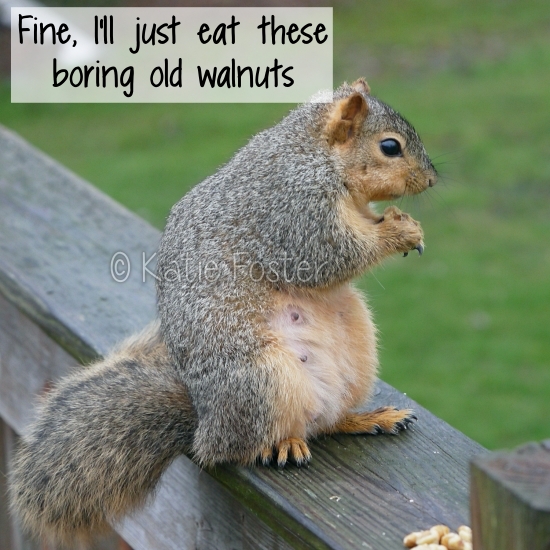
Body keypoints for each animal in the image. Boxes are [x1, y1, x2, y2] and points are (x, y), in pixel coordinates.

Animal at [9, 78, 437, 546]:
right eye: (390, 146)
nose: (432, 179)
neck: (314, 153)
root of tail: (205, 424)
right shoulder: (292, 208)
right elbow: (327, 255)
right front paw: (401, 230)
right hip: (261, 376)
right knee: (242, 446)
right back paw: (279, 444)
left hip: (354, 349)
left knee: (325, 422)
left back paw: (365, 418)